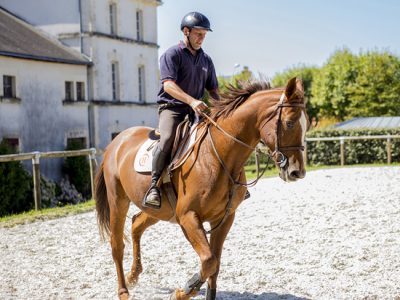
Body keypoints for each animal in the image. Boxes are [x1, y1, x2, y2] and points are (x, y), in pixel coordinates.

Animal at [95, 77, 308, 300]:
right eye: (289, 123)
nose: (297, 172)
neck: (218, 155)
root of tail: (117, 141)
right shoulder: (188, 216)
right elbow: (209, 260)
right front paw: (184, 291)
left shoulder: (224, 218)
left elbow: (215, 263)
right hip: (118, 200)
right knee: (117, 244)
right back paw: (123, 290)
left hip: (159, 210)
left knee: (136, 224)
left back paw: (133, 276)